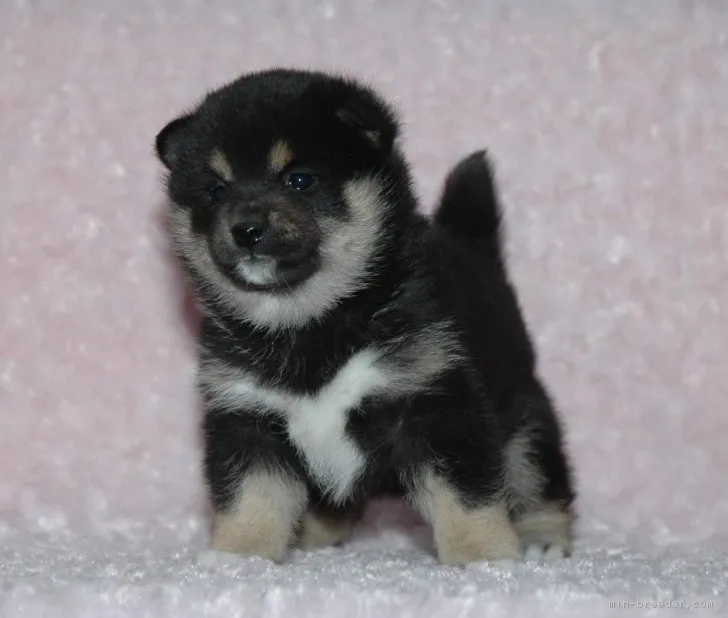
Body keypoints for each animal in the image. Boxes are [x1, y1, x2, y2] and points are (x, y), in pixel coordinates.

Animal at [154, 67, 576, 564]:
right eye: (217, 190)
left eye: (300, 180)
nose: (246, 230)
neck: (311, 323)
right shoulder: (247, 419)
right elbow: (251, 499)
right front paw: (237, 556)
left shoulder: (437, 402)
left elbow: (465, 496)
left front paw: (484, 557)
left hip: (524, 414)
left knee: (538, 478)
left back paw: (545, 538)